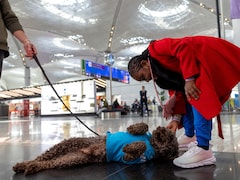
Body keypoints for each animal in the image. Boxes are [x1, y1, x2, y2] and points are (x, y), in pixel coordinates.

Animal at [12, 121, 178, 175]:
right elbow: (143, 126)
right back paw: (22, 165)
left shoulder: (132, 159)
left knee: (48, 163)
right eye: (170, 133)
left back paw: (31, 167)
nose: (161, 129)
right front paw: (135, 128)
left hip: (71, 159)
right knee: (40, 158)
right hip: (64, 145)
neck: (152, 142)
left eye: (171, 138)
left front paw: (128, 148)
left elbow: (137, 150)